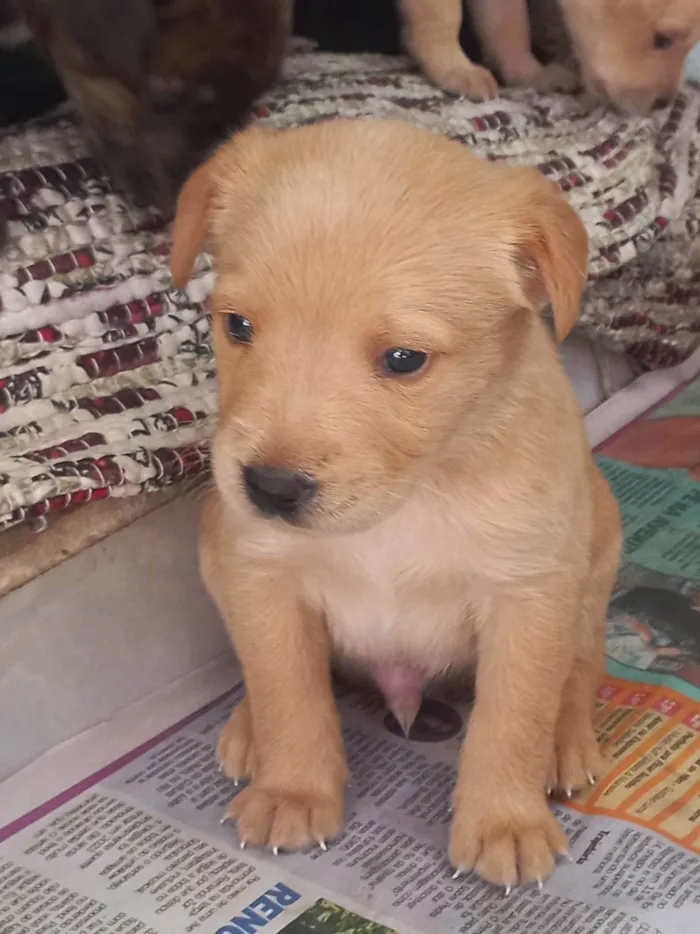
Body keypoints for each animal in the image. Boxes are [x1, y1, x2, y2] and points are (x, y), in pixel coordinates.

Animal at [172, 120, 620, 888]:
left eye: (405, 360)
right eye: (237, 326)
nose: (270, 487)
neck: (410, 494)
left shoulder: (528, 593)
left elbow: (514, 716)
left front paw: (505, 821)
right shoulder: (261, 572)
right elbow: (287, 689)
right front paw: (293, 789)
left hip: (595, 555)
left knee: (581, 666)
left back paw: (566, 743)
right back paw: (249, 730)